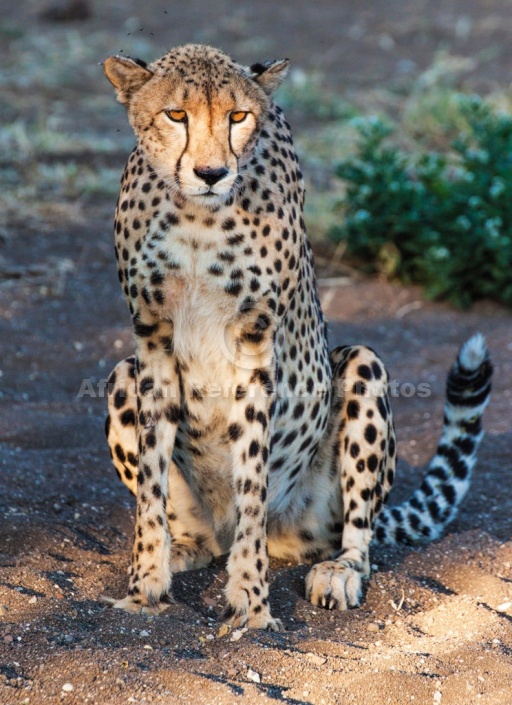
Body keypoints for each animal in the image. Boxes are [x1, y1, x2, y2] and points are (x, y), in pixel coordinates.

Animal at [101, 42, 492, 628]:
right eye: (176, 115)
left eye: (239, 117)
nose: (212, 172)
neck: (197, 215)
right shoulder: (150, 340)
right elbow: (151, 479)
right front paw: (145, 580)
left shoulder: (255, 341)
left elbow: (251, 477)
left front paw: (250, 599)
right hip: (122, 376)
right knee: (204, 531)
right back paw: (184, 546)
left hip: (362, 371)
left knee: (354, 534)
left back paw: (339, 571)